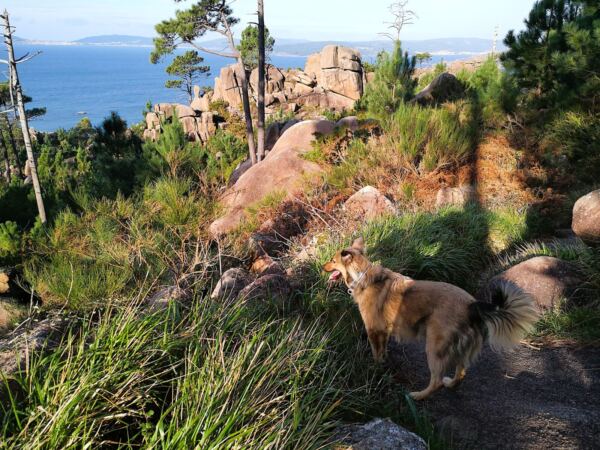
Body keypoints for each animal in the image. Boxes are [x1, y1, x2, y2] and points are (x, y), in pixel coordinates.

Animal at [323, 237, 539, 400]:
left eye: (332, 260)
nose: (322, 266)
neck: (362, 276)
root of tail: (472, 305)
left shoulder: (373, 330)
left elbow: (376, 352)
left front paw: (375, 368)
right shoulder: (383, 332)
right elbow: (382, 351)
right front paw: (383, 363)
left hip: (434, 346)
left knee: (436, 381)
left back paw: (417, 396)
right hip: (460, 346)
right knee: (461, 372)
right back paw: (451, 384)